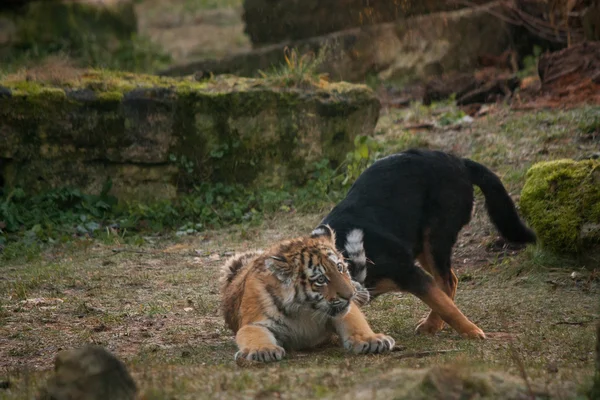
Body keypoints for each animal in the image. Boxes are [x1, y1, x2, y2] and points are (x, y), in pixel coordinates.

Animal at [316, 148, 536, 338]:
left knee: (446, 283)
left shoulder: (408, 273)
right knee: (450, 280)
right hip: (423, 245)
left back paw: (435, 325)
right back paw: (434, 324)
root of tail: (458, 162)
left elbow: (442, 304)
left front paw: (471, 331)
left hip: (436, 238)